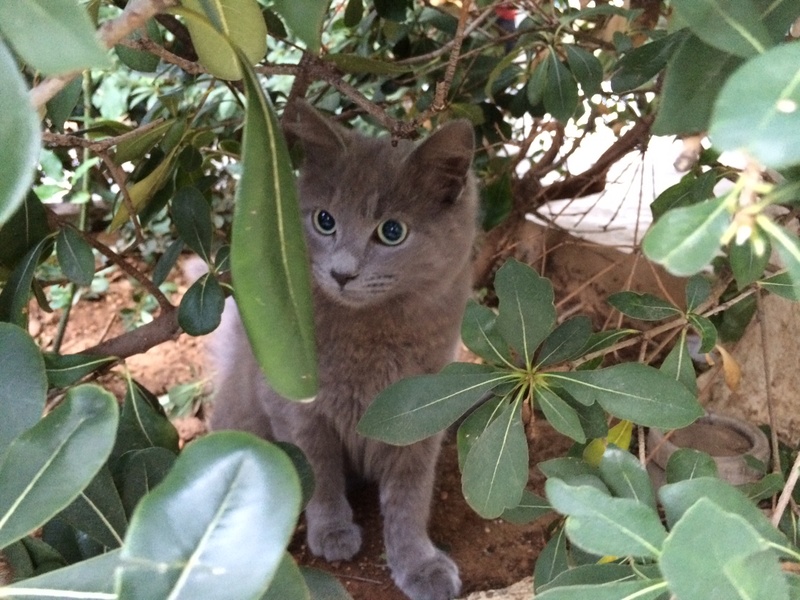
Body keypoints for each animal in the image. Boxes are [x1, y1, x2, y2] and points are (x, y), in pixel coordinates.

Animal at [209, 103, 478, 600]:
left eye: (392, 231)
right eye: (325, 221)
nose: (342, 273)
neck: (367, 336)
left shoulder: (417, 412)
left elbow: (410, 494)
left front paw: (418, 562)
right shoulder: (296, 406)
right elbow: (320, 470)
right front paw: (332, 532)